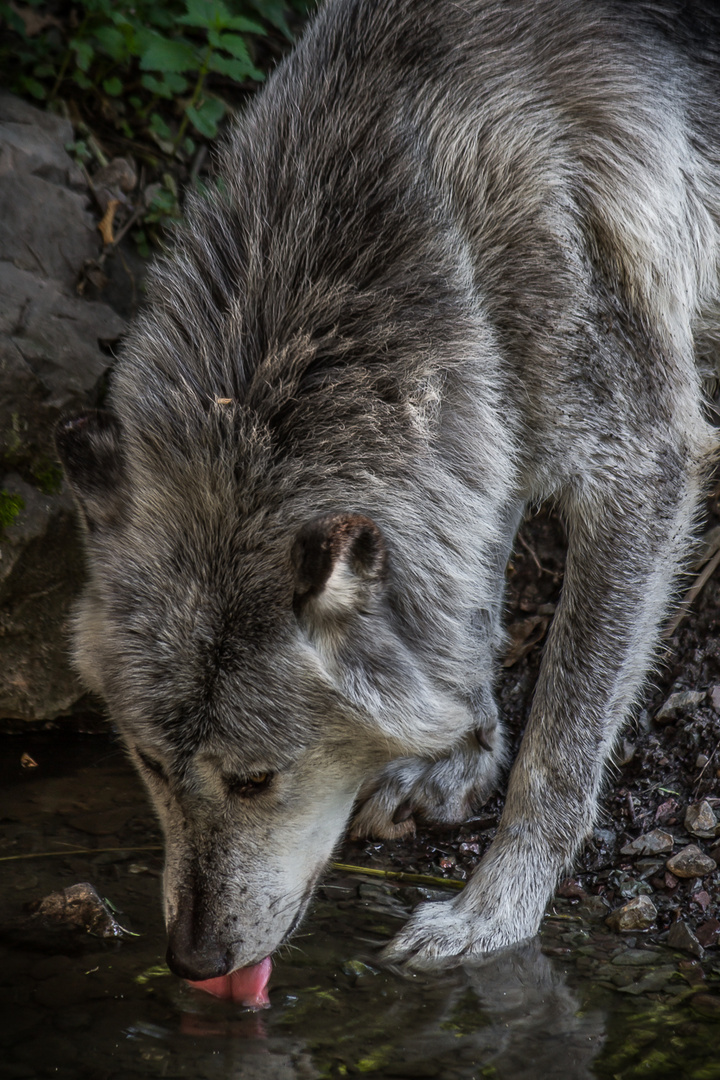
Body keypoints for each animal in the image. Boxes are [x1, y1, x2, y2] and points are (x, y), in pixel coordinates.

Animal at [56, 0, 720, 980]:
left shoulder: (643, 463)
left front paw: (494, 914)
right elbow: (468, 603)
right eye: (145, 761)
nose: (193, 963)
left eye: (255, 779)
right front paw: (456, 760)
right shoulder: (481, 423)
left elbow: (559, 750)